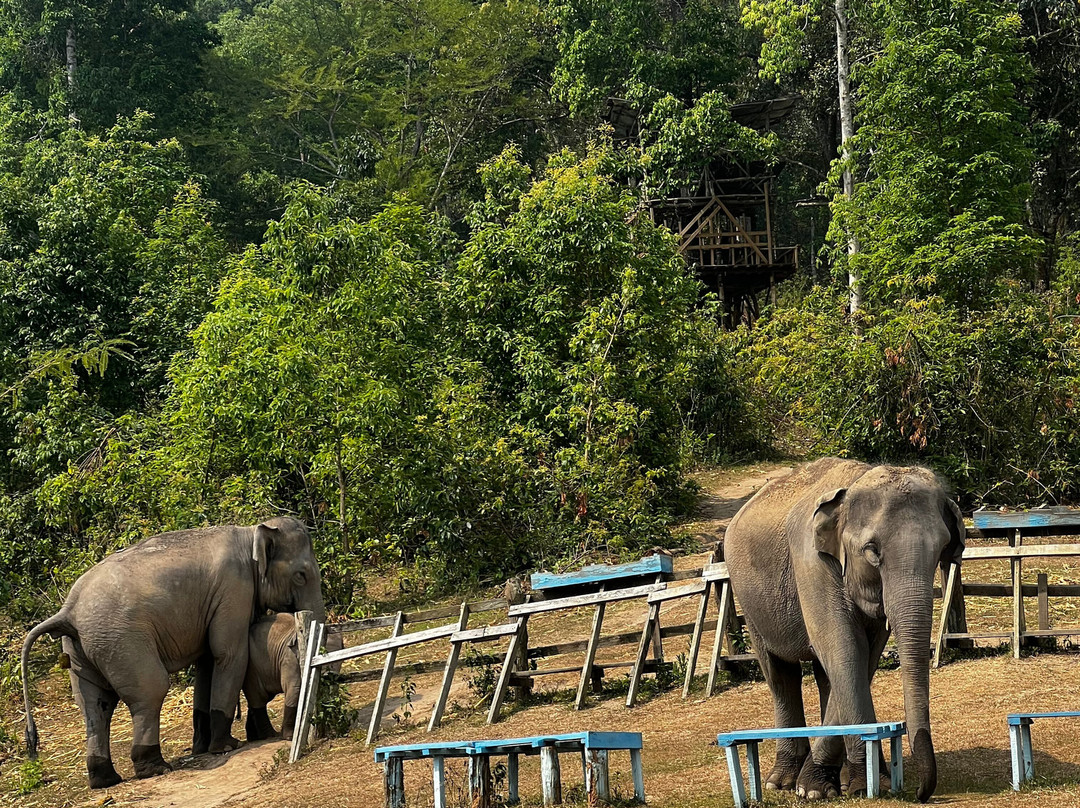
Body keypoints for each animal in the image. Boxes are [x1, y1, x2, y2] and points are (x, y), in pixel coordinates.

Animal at [20, 516, 325, 789]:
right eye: (301, 575)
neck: (250, 534)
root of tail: (67, 611)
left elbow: (206, 664)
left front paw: (202, 747)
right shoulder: (234, 590)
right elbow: (228, 654)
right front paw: (226, 746)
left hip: (82, 649)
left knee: (95, 705)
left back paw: (105, 780)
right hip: (122, 641)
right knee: (150, 689)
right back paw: (155, 768)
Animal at [241, 613, 342, 742]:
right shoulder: (289, 657)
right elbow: (295, 688)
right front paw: (289, 737)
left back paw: (254, 737)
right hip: (251, 667)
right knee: (258, 697)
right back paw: (269, 735)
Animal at [723, 458, 963, 803]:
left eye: (942, 548)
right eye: (872, 551)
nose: (921, 792)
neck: (857, 481)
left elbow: (863, 658)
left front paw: (854, 782)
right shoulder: (812, 563)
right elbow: (845, 649)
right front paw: (823, 788)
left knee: (825, 677)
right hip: (749, 601)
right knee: (780, 674)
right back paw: (780, 783)